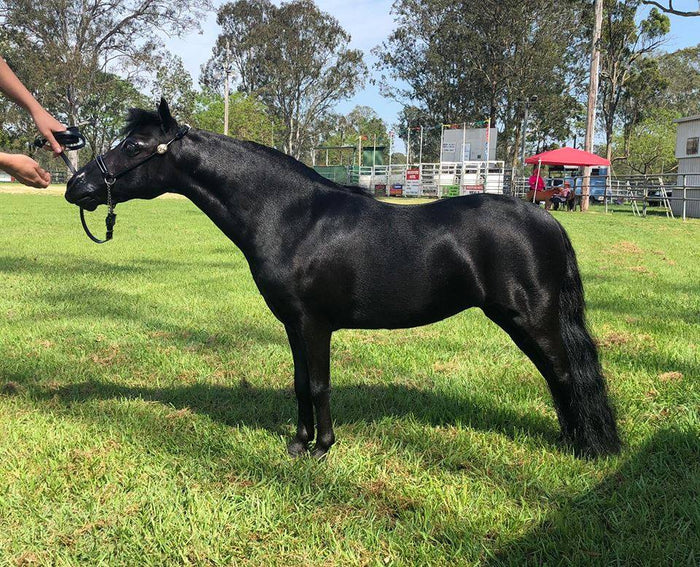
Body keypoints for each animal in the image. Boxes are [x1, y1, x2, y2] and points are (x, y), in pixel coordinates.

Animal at [65, 99, 620, 459]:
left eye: (135, 145)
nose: (77, 186)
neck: (290, 217)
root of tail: (545, 218)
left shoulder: (315, 324)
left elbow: (319, 383)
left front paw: (322, 448)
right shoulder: (293, 325)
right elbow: (298, 383)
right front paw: (298, 442)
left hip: (531, 319)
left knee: (565, 374)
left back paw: (587, 449)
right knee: (558, 376)